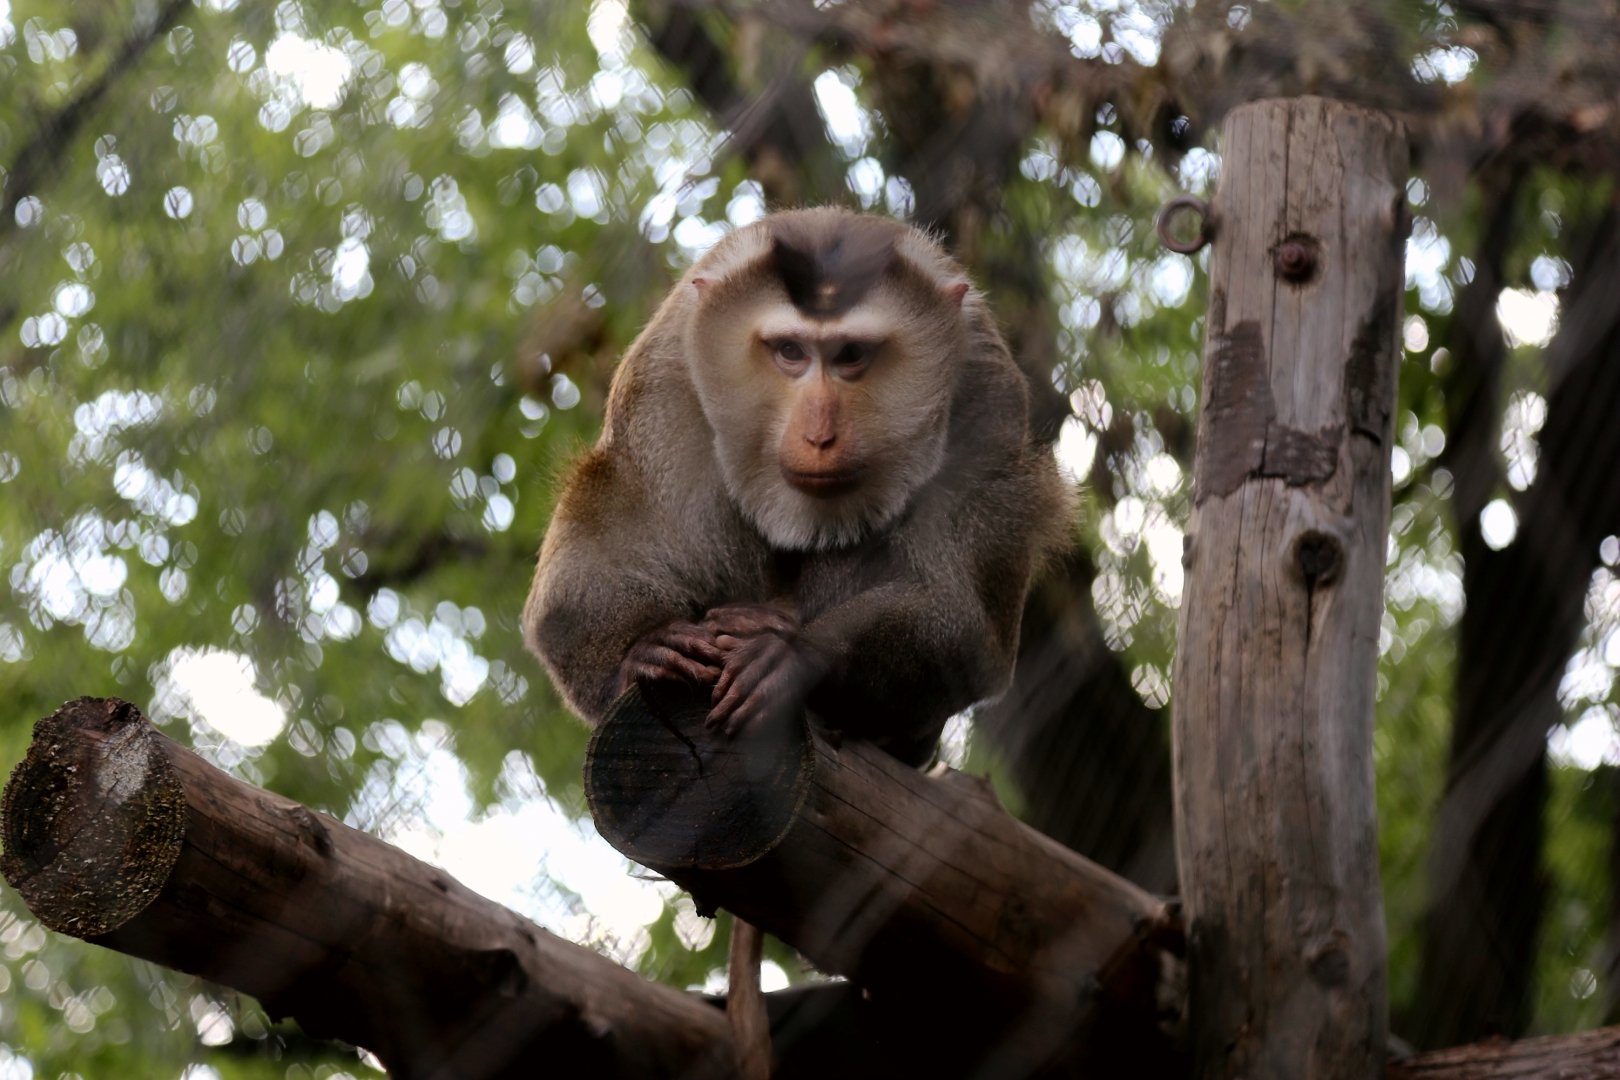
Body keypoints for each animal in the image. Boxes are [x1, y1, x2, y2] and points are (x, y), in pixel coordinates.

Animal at [522, 207, 1068, 1074]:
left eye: (849, 357)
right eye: (786, 352)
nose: (817, 432)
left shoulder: (983, 393)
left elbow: (968, 629)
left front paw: (797, 659)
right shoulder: (666, 378)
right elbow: (585, 570)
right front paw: (644, 649)